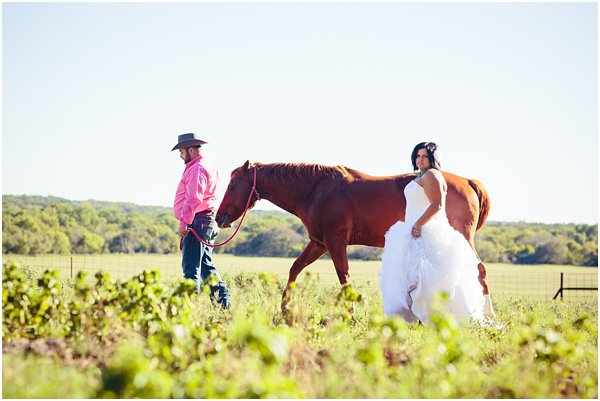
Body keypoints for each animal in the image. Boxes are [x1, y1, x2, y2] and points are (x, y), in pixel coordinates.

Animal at [216, 159, 492, 312]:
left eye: (232, 186)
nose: (219, 217)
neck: (315, 190)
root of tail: (469, 181)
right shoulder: (318, 243)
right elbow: (295, 268)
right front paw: (285, 307)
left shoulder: (335, 243)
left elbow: (344, 278)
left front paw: (351, 312)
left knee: (478, 271)